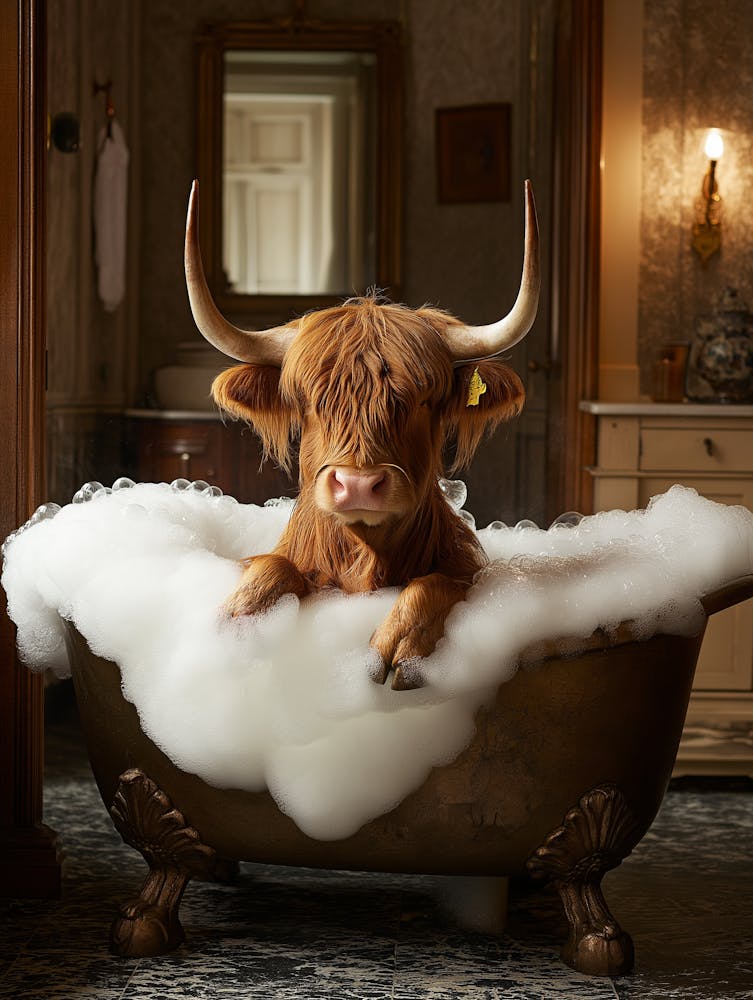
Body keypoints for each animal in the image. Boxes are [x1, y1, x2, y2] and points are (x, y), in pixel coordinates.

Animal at [184, 180, 539, 688]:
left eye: (423, 400)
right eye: (309, 401)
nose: (357, 484)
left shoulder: (467, 571)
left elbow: (434, 583)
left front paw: (401, 647)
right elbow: (270, 568)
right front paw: (233, 623)